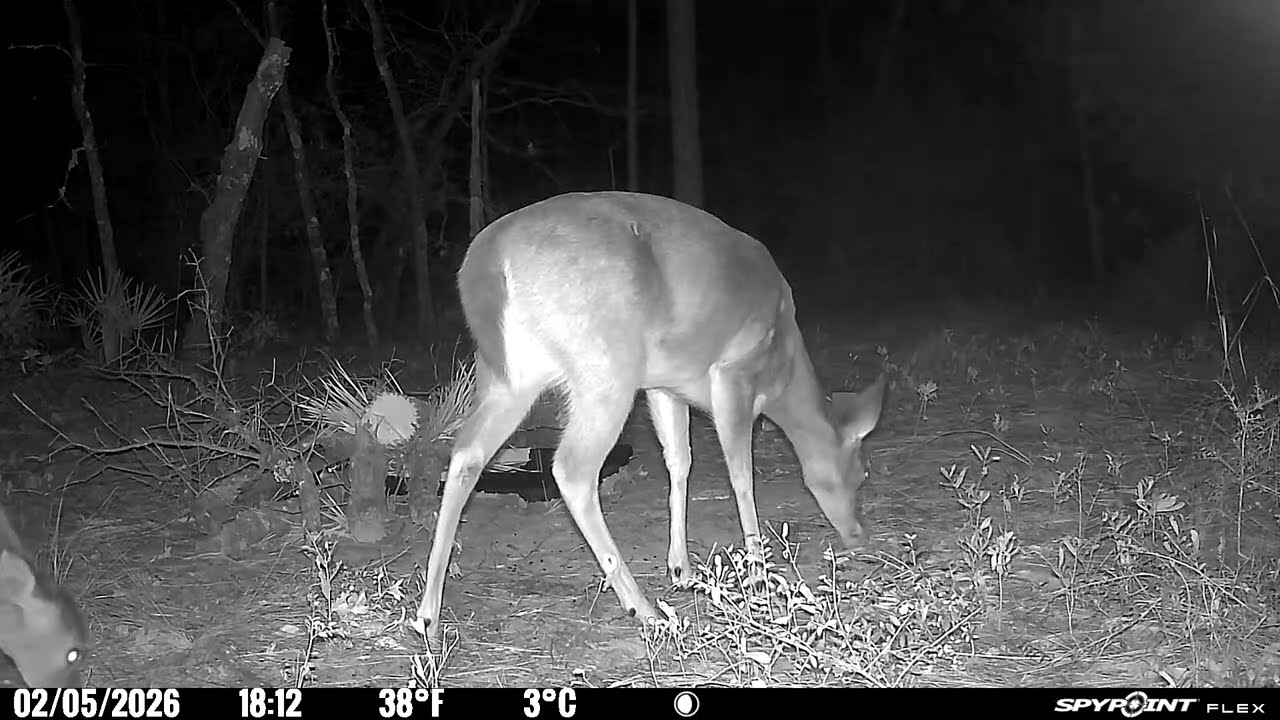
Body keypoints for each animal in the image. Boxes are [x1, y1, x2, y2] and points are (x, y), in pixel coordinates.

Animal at [414, 191, 886, 638]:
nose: (859, 534)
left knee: (467, 454)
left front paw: (682, 569)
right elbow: (741, 475)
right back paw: (642, 608)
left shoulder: (663, 384)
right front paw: (757, 571)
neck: (783, 374)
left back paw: (428, 616)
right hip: (605, 365)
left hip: (508, 374)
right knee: (572, 468)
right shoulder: (733, 372)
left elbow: (679, 461)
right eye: (861, 474)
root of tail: (485, 263)